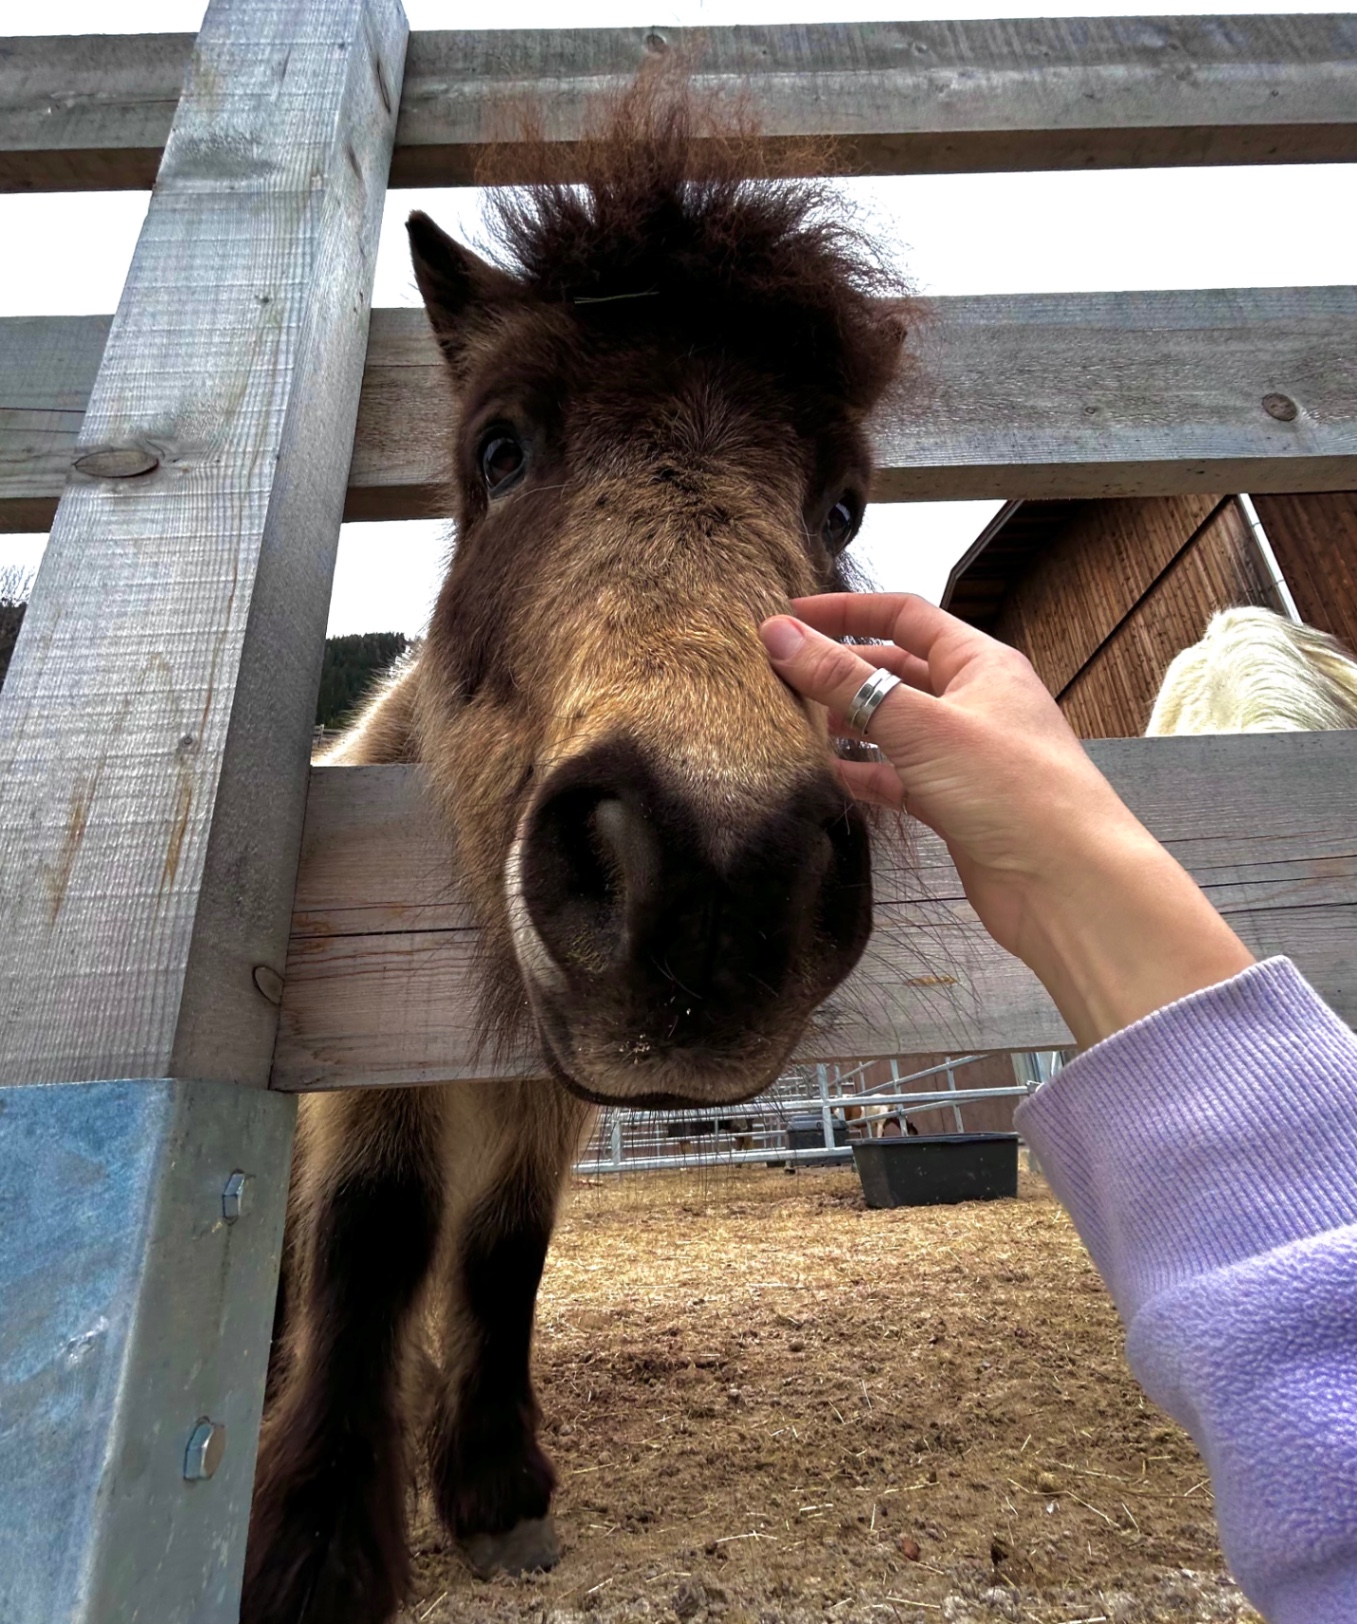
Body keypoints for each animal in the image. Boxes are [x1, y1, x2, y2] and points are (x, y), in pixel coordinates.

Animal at [241, 79, 908, 1624]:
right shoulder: (374, 1079)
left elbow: (498, 1256)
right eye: (500, 449)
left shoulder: (540, 1108)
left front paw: (493, 1490)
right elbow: (370, 1245)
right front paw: (315, 1548)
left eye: (839, 504)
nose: (719, 875)